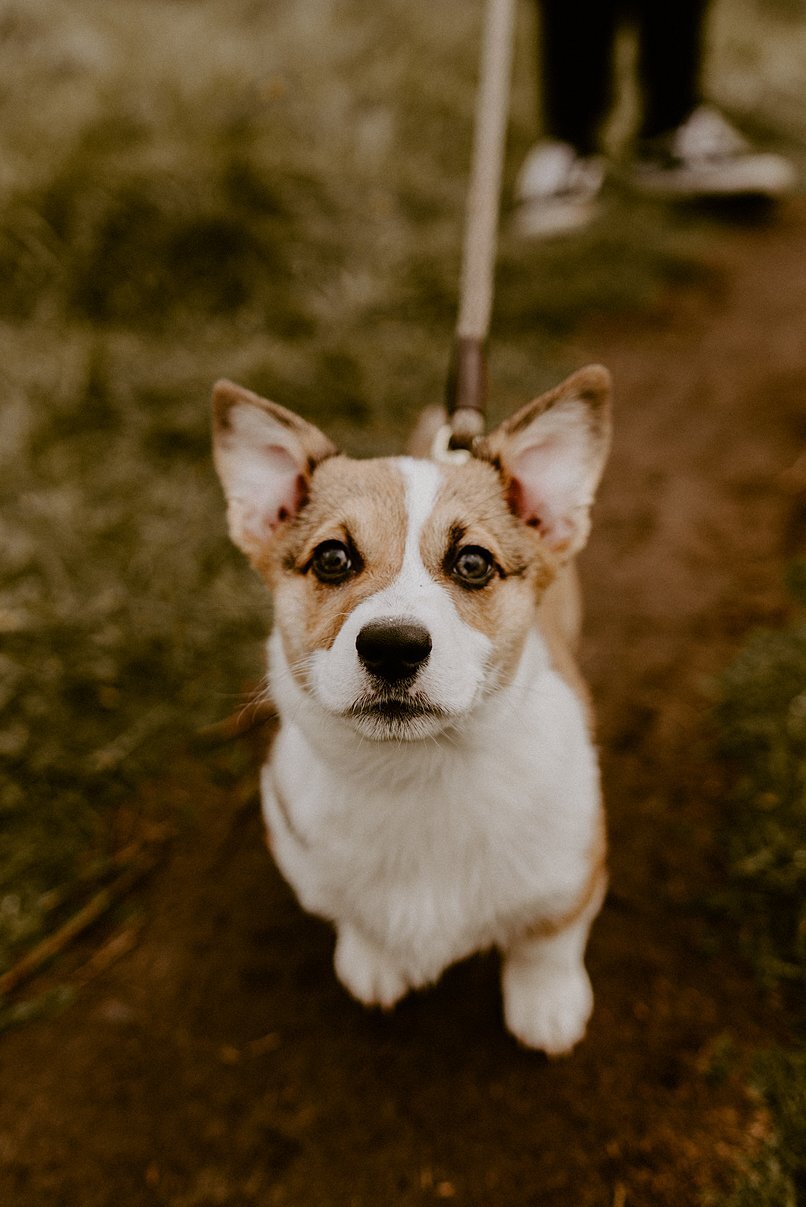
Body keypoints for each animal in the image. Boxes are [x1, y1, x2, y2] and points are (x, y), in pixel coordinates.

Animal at [212, 366, 610, 1057]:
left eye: (473, 562)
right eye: (332, 558)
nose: (392, 647)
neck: (417, 774)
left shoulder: (574, 872)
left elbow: (547, 939)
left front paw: (547, 1003)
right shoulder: (308, 863)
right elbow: (354, 915)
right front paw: (373, 961)